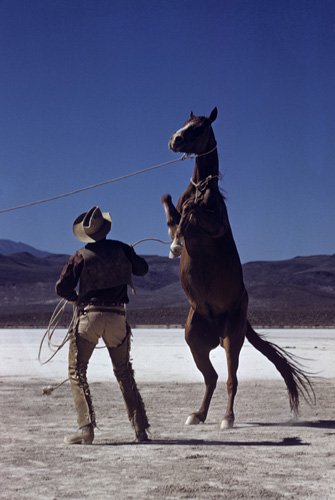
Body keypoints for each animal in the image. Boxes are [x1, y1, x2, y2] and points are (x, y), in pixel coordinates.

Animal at [161, 107, 314, 428]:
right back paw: (198, 415)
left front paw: (178, 242)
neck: (202, 190)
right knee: (211, 377)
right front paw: (175, 241)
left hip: (233, 338)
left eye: (199, 127)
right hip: (195, 341)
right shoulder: (176, 210)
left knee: (231, 379)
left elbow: (191, 213)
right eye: (184, 123)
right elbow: (170, 205)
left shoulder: (216, 225)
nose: (174, 139)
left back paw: (227, 418)